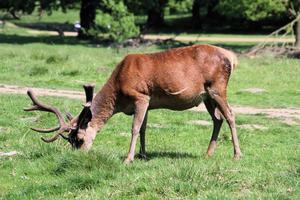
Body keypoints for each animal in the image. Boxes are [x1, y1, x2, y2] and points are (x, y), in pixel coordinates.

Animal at [25, 43, 241, 162]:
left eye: (79, 139)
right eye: (69, 141)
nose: (77, 156)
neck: (119, 96)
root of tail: (232, 57)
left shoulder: (141, 96)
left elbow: (135, 128)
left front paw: (128, 158)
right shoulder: (149, 102)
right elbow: (144, 128)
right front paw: (143, 155)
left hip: (217, 88)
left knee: (230, 114)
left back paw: (237, 154)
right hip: (206, 96)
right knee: (217, 119)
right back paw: (208, 153)